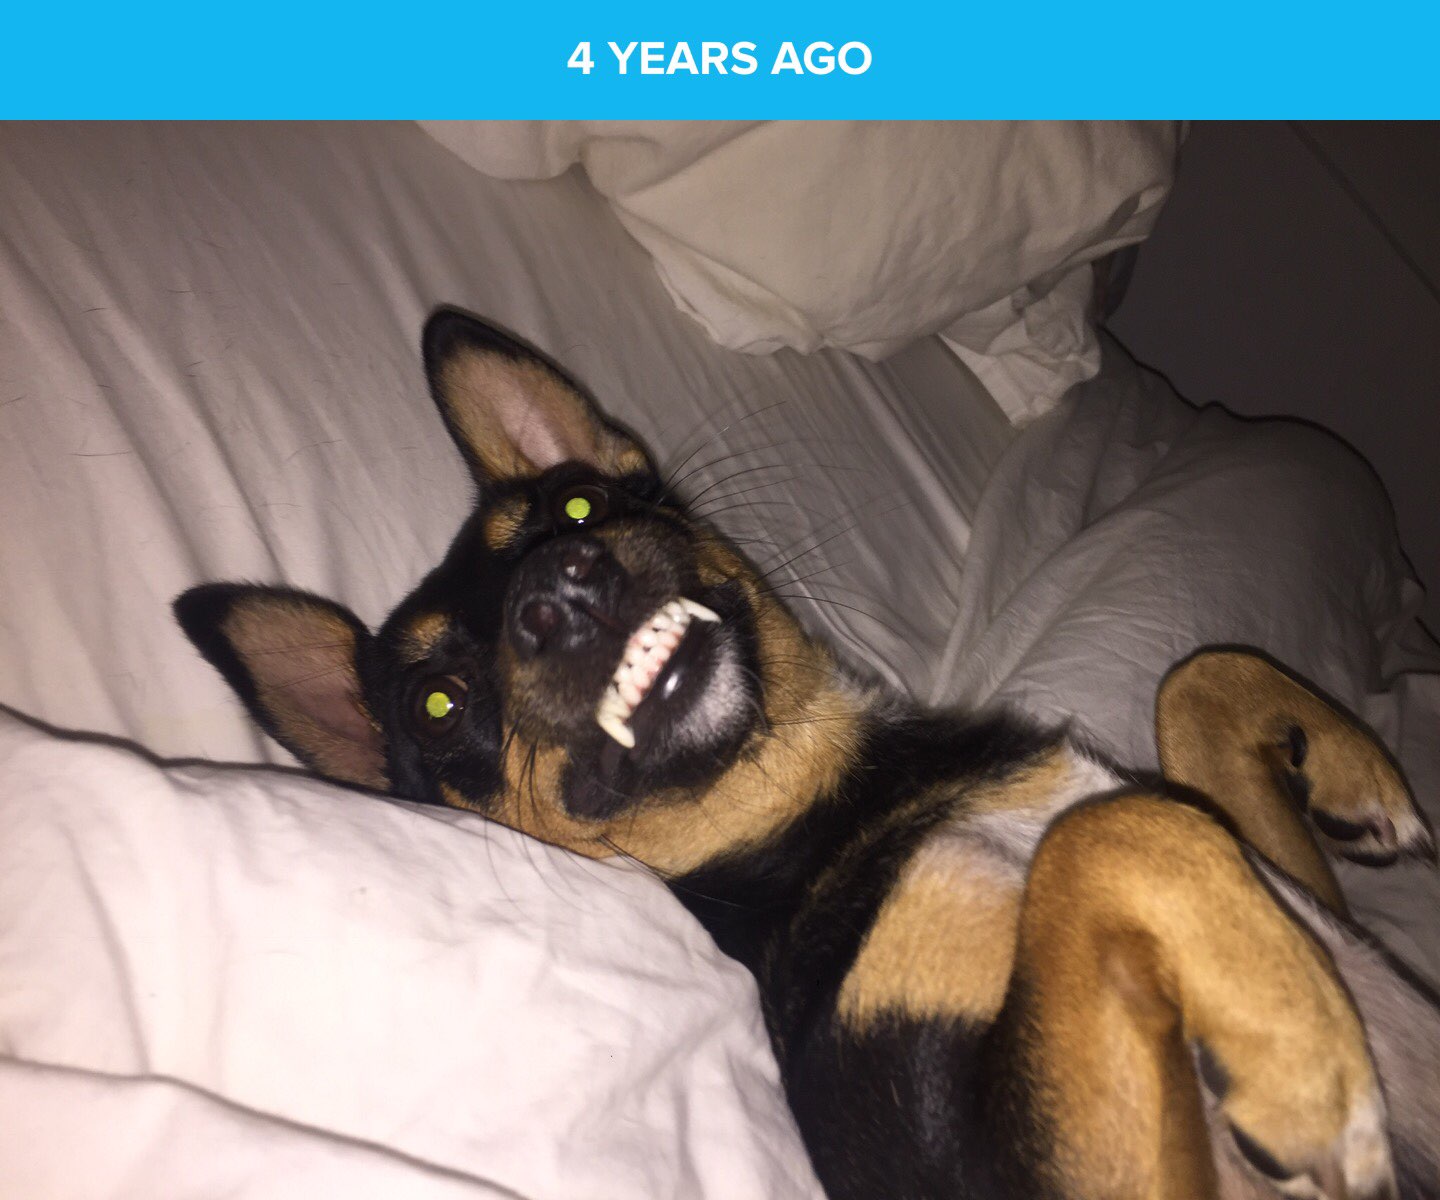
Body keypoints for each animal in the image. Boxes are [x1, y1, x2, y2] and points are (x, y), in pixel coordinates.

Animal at [176, 309, 1440, 1200]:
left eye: (574, 508)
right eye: (437, 704)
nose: (555, 594)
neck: (823, 814)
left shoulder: (1299, 898)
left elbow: (1191, 694)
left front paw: (1360, 780)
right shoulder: (1014, 1166)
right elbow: (1121, 830)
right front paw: (1301, 1065)